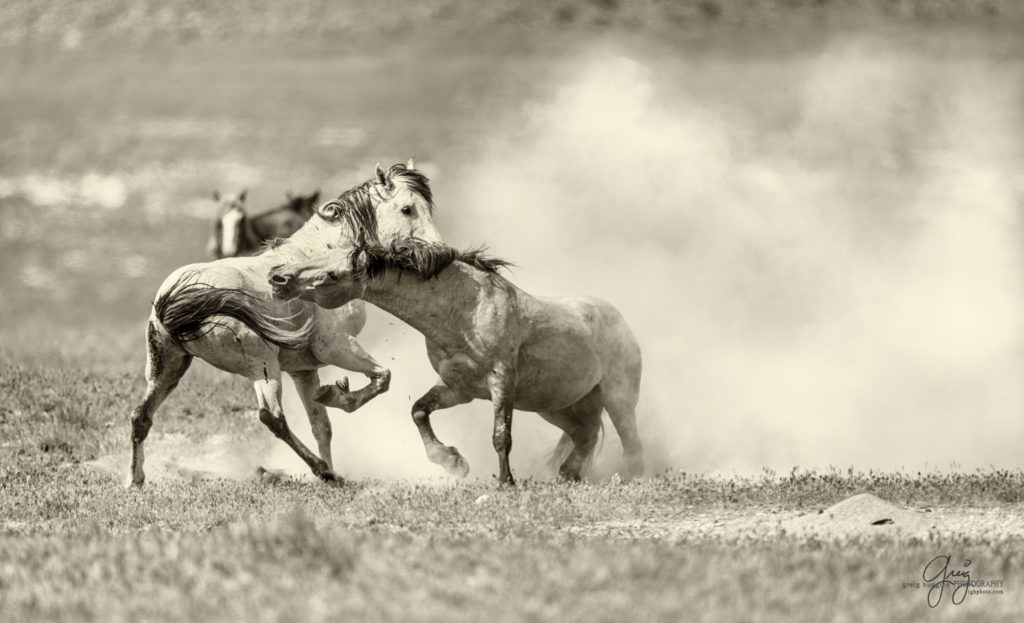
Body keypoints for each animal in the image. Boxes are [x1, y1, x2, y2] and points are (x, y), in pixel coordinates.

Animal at [129, 161, 440, 487]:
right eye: (407, 209)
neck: (320, 255)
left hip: (168, 368)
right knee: (273, 418)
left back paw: (135, 479)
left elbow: (321, 425)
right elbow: (382, 378)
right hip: (262, 366)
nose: (436, 253)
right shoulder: (337, 347)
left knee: (140, 415)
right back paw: (320, 468)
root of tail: (180, 298)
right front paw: (340, 398)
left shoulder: (304, 370)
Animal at [268, 238, 643, 487]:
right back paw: (568, 474)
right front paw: (452, 462)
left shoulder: (501, 381)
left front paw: (505, 482)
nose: (276, 277)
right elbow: (419, 411)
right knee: (585, 436)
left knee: (630, 442)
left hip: (617, 398)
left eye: (332, 274)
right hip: (558, 406)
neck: (465, 313)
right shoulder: (458, 389)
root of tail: (620, 320)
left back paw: (631, 475)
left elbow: (501, 435)